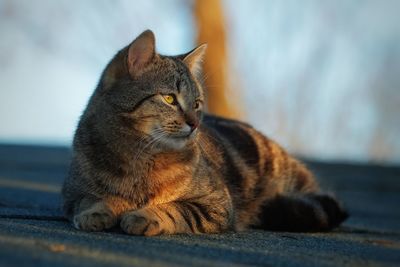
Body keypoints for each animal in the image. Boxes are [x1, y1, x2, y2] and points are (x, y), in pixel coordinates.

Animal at [61, 29, 346, 237]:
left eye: (197, 103)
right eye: (169, 98)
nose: (195, 123)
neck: (140, 156)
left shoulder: (216, 204)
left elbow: (175, 209)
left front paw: (144, 215)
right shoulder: (72, 193)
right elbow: (89, 199)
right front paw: (98, 211)